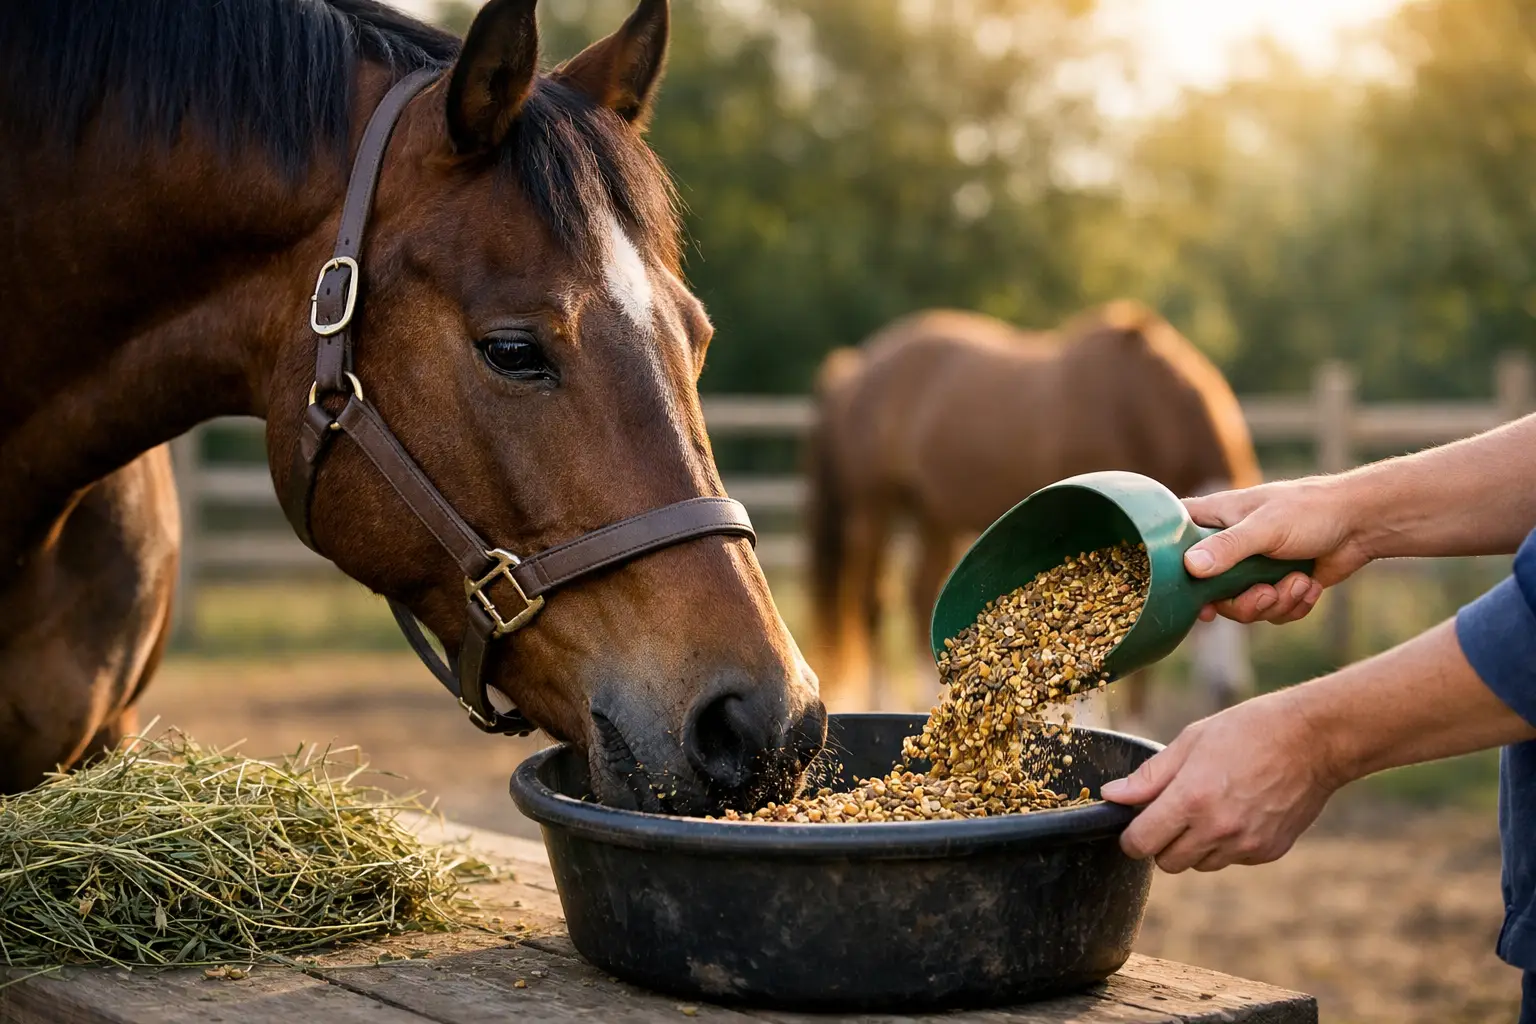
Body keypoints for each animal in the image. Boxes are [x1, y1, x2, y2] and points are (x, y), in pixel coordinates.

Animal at [807, 301, 1262, 727]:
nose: (1228, 690)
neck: (1133, 405)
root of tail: (858, 368)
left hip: (934, 515)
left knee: (919, 597)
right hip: (874, 507)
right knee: (872, 603)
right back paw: (885, 702)